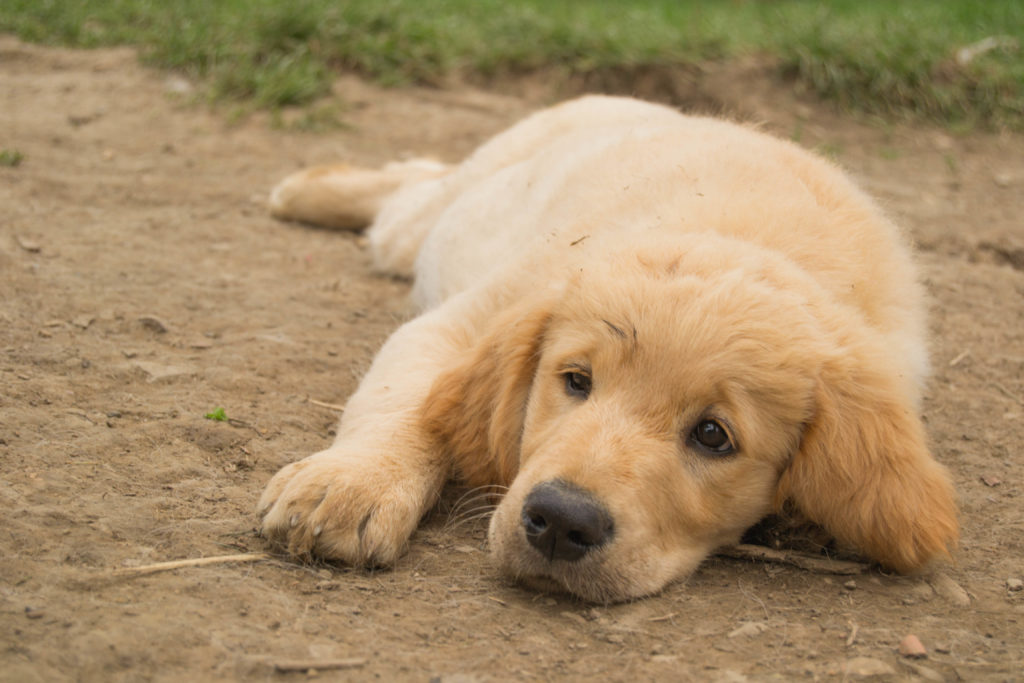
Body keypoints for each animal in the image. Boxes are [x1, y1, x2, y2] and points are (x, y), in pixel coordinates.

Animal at [258, 93, 958, 602]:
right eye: (576, 380)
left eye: (713, 435)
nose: (562, 521)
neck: (745, 240)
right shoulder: (462, 322)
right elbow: (410, 401)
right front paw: (350, 485)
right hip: (445, 212)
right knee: (414, 189)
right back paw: (304, 190)